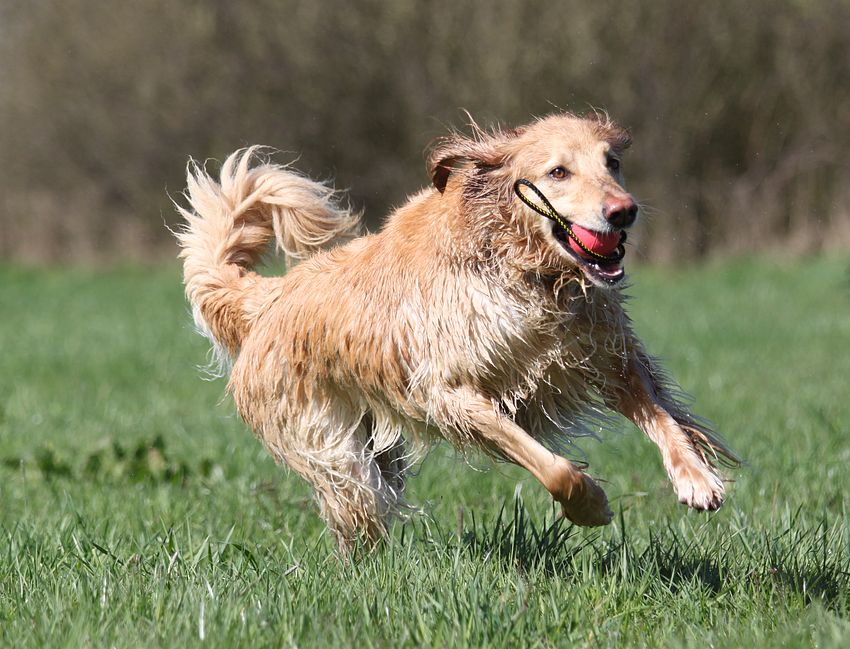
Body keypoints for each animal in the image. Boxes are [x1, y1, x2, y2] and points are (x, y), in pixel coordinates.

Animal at [176, 112, 738, 550]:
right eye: (558, 171)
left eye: (612, 163)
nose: (624, 211)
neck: (518, 271)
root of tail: (270, 298)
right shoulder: (449, 394)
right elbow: (552, 467)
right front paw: (591, 506)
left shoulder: (606, 355)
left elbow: (663, 420)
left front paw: (695, 478)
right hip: (338, 457)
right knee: (359, 519)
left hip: (380, 448)